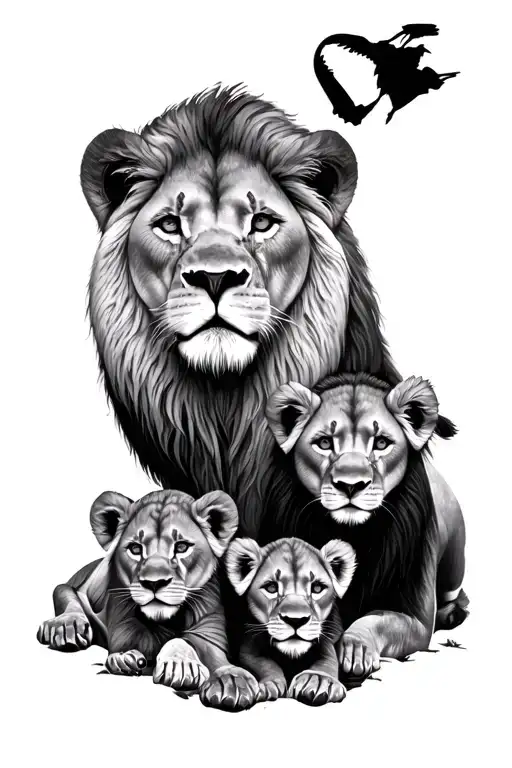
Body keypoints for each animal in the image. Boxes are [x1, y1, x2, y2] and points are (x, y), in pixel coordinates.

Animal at [37, 488, 260, 712]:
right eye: (135, 549)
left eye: (181, 547)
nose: (154, 583)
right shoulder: (125, 628)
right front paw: (176, 666)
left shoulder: (209, 633)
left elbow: (205, 650)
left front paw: (229, 679)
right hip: (78, 589)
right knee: (64, 592)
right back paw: (69, 628)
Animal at [225, 536, 356, 707]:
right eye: (271, 587)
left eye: (317, 588)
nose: (296, 620)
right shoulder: (248, 649)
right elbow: (266, 664)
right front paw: (270, 685)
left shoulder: (325, 643)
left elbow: (327, 661)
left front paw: (319, 681)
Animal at [265, 373, 468, 679]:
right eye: (324, 443)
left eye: (381, 443)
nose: (351, 485)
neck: (354, 535)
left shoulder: (417, 619)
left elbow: (376, 620)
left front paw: (355, 648)